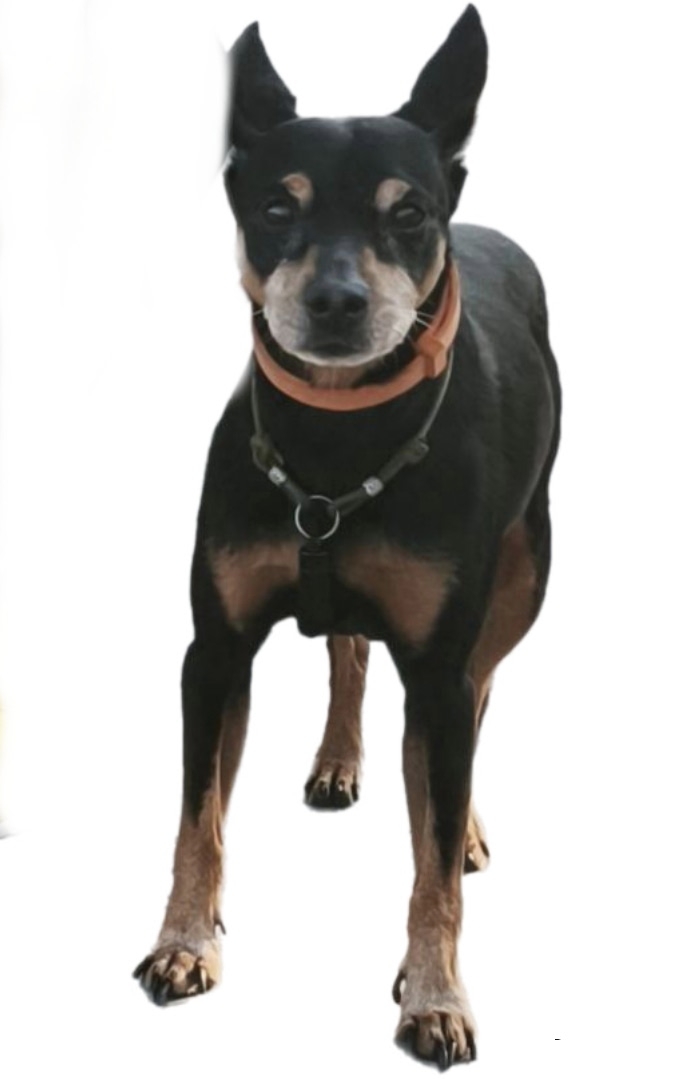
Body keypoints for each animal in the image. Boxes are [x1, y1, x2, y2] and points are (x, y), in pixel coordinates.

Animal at [134, 6, 561, 1068]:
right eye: (275, 208)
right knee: (351, 651)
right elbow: (199, 815)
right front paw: (184, 940)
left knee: (469, 710)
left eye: (407, 213)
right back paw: (342, 759)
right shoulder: (213, 647)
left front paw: (436, 993)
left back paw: (452, 816)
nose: (334, 302)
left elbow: (435, 861)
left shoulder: (442, 656)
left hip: (525, 570)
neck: (335, 440)